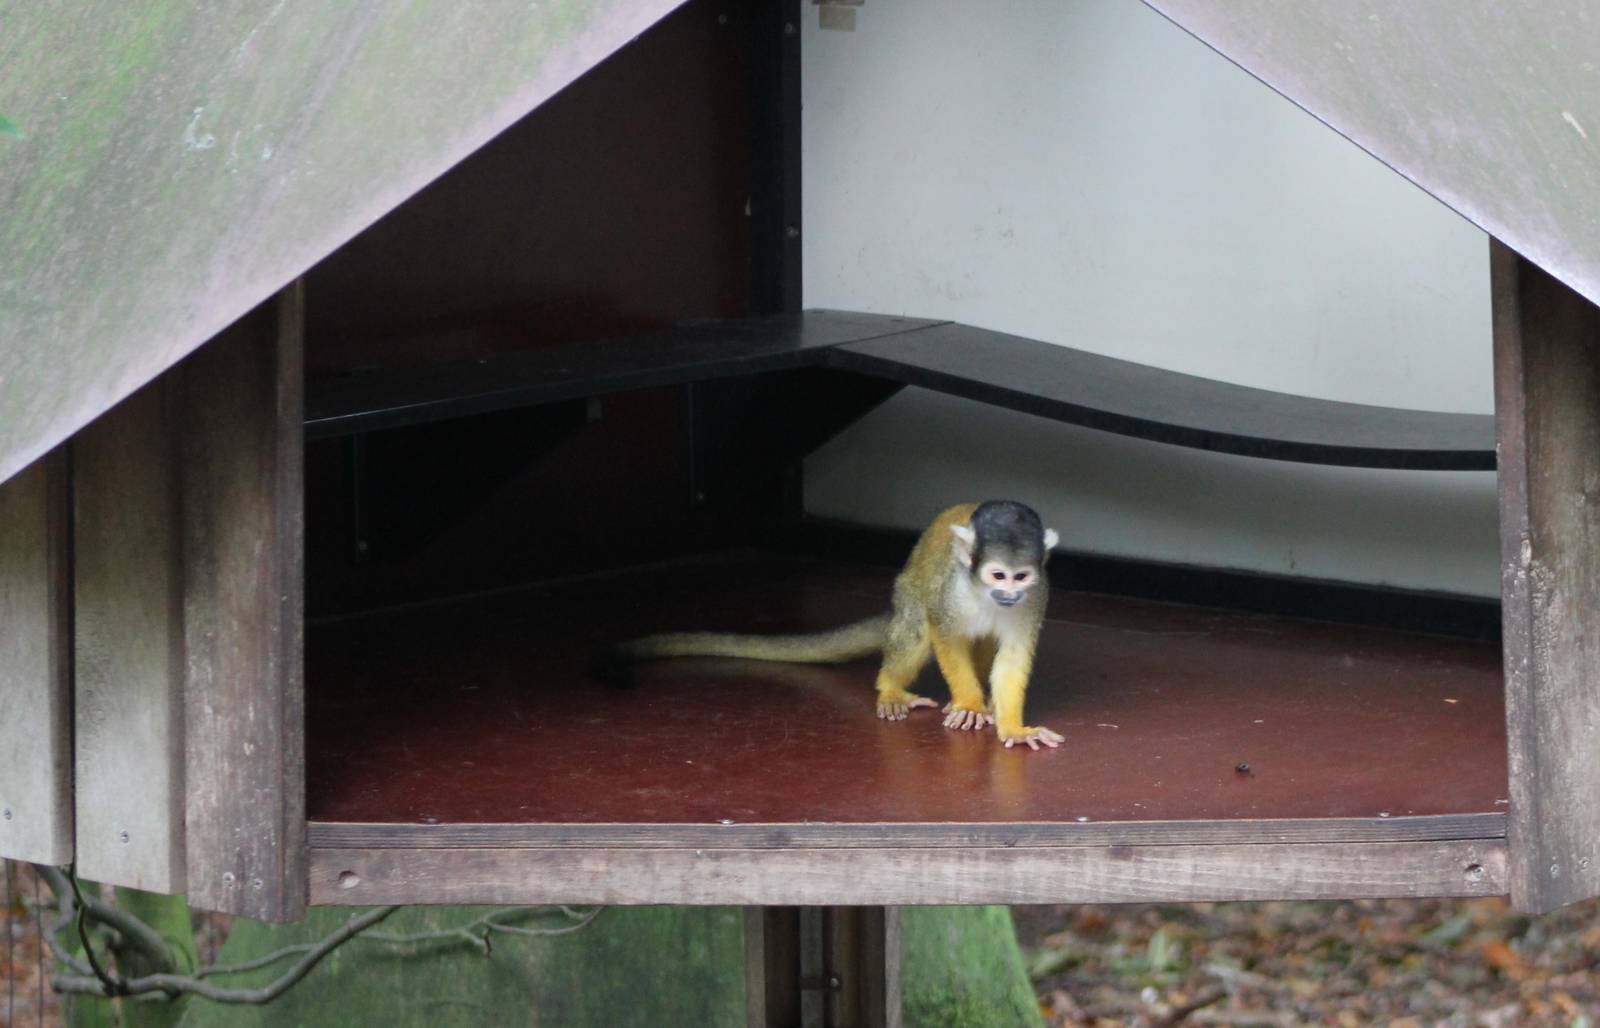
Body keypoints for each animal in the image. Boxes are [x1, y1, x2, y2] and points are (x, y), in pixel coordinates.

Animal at [612, 501, 1065, 750]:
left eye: (1020, 577)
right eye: (997, 575)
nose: (1008, 595)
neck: (984, 592)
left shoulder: (1038, 595)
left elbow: (1013, 656)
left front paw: (1013, 728)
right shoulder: (951, 592)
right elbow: (942, 633)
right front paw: (969, 704)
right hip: (908, 593)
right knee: (917, 627)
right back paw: (891, 688)